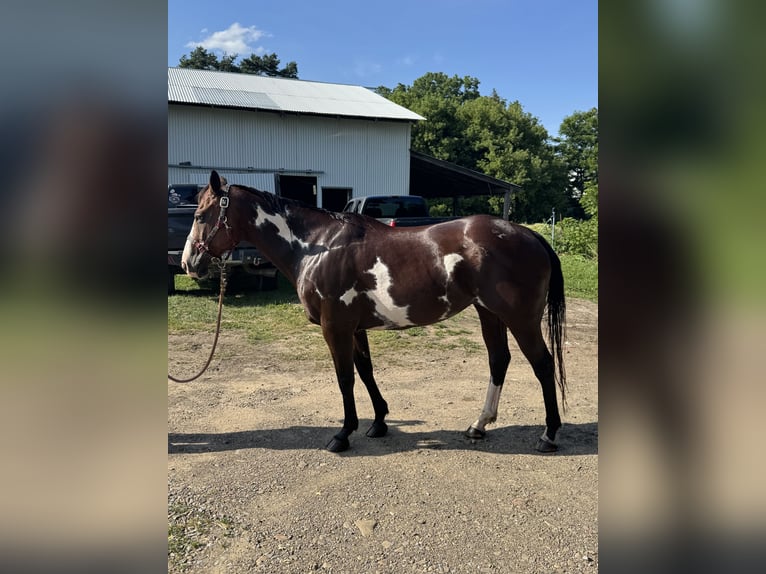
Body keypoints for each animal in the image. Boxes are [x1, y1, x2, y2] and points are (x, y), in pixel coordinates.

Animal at [181, 170, 567, 453]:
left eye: (200, 215)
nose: (188, 263)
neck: (317, 246)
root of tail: (530, 235)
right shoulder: (354, 328)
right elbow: (365, 372)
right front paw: (379, 422)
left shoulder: (334, 327)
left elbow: (345, 378)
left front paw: (343, 434)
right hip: (489, 314)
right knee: (499, 361)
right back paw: (479, 425)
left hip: (520, 319)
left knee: (543, 365)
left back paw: (549, 434)